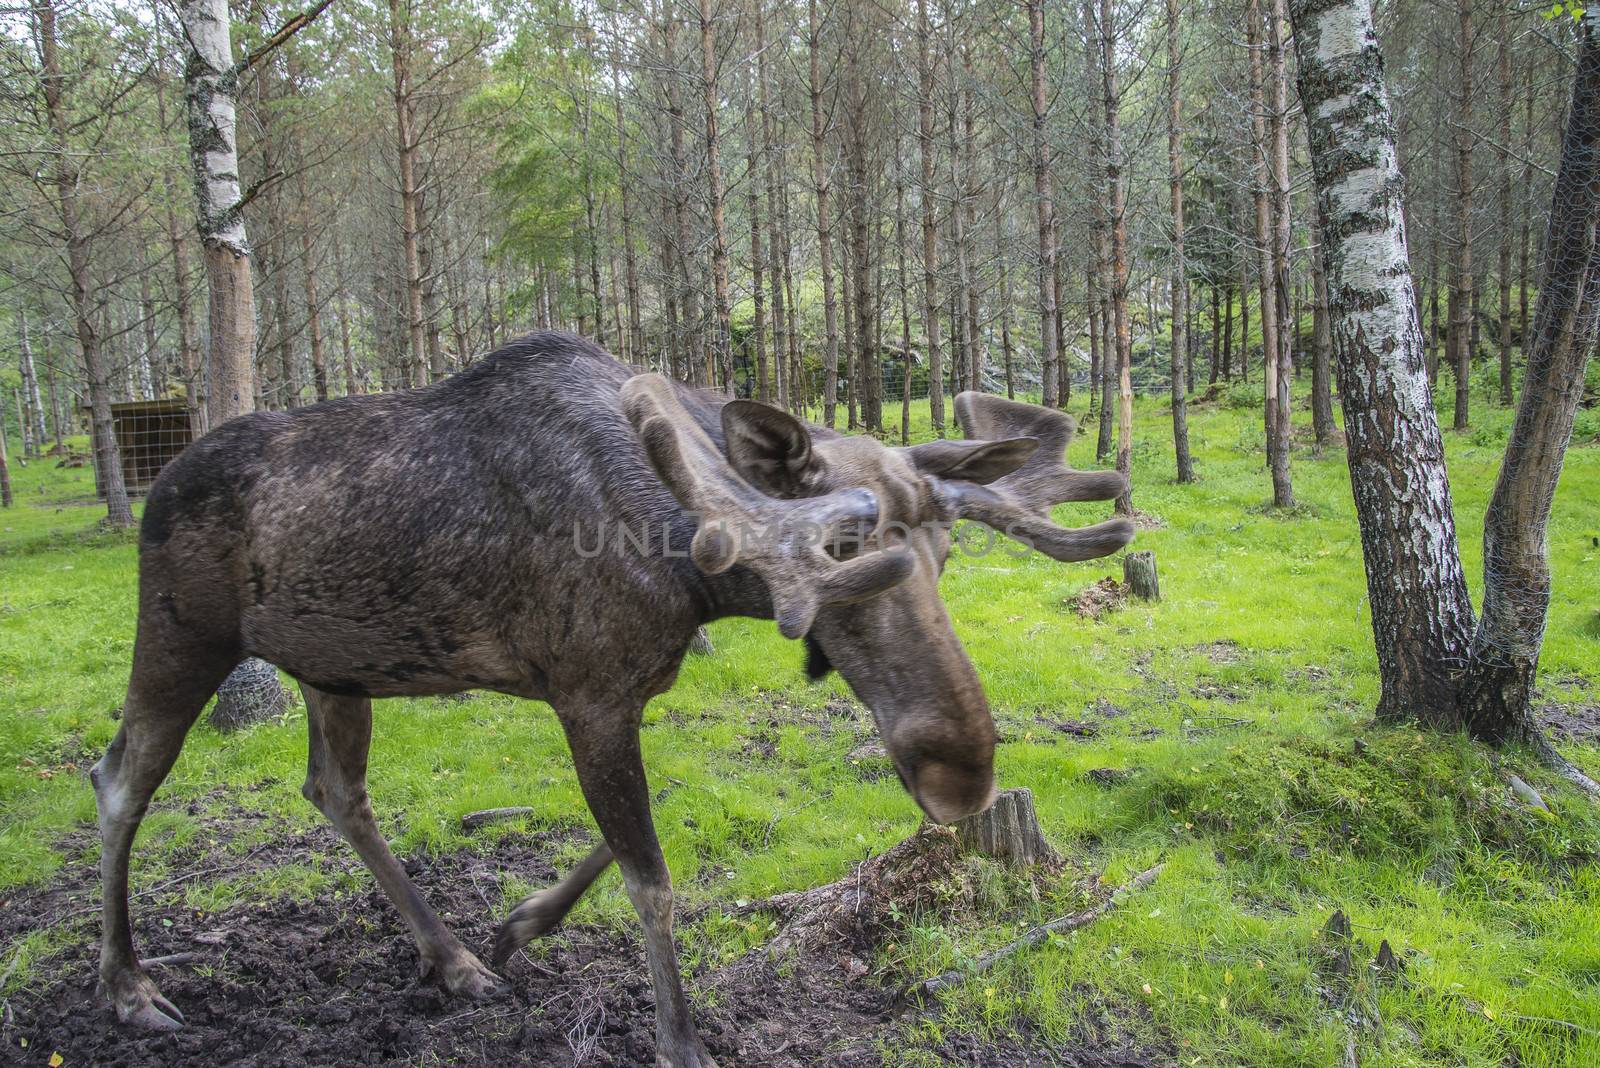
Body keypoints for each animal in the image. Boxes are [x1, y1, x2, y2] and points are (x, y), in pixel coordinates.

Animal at [93, 329, 1132, 1061]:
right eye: (845, 554)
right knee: (121, 779)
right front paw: (681, 1042)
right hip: (182, 633)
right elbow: (652, 879)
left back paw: (452, 960)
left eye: (947, 553)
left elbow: (632, 830)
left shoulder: (620, 692)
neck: (694, 565)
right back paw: (131, 989)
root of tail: (159, 480)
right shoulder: (587, 692)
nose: (964, 776)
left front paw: (519, 925)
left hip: (334, 667)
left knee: (335, 791)